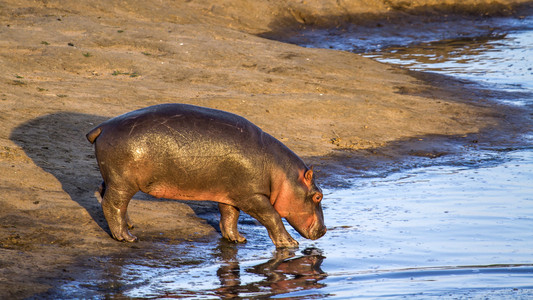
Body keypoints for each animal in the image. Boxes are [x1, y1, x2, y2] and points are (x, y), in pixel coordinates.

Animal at [87, 103, 324, 248]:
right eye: (318, 196)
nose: (323, 230)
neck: (279, 173)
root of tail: (102, 127)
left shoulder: (232, 194)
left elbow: (229, 216)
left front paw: (238, 239)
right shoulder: (252, 197)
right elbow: (272, 216)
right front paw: (290, 244)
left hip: (114, 178)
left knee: (105, 195)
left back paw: (129, 225)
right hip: (123, 182)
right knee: (113, 204)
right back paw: (127, 238)